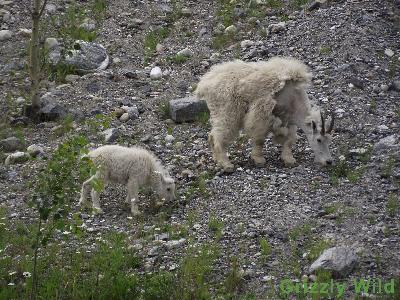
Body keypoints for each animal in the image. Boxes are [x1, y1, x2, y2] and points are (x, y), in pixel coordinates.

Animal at [195, 57, 332, 172]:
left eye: (329, 140)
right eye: (319, 139)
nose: (329, 162)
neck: (292, 97)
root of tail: (205, 84)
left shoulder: (287, 119)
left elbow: (289, 139)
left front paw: (288, 159)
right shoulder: (262, 112)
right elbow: (259, 138)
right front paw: (258, 159)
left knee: (211, 136)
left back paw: (217, 159)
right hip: (226, 111)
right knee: (219, 136)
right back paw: (226, 164)